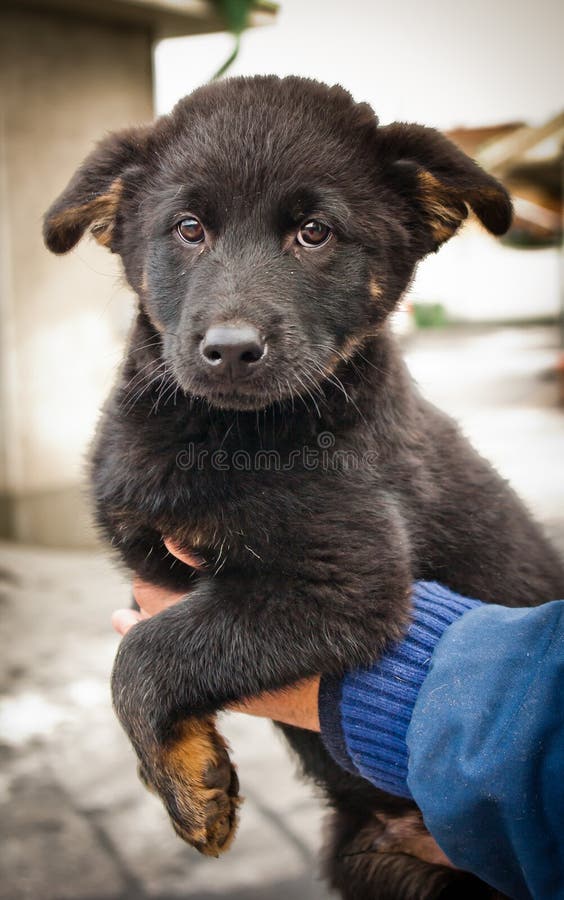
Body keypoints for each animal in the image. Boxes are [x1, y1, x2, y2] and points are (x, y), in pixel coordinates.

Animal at [44, 79, 564, 900]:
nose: (230, 350)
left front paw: (188, 791)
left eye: (314, 234)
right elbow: (144, 644)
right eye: (188, 229)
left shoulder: (342, 581)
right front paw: (179, 771)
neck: (224, 433)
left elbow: (145, 653)